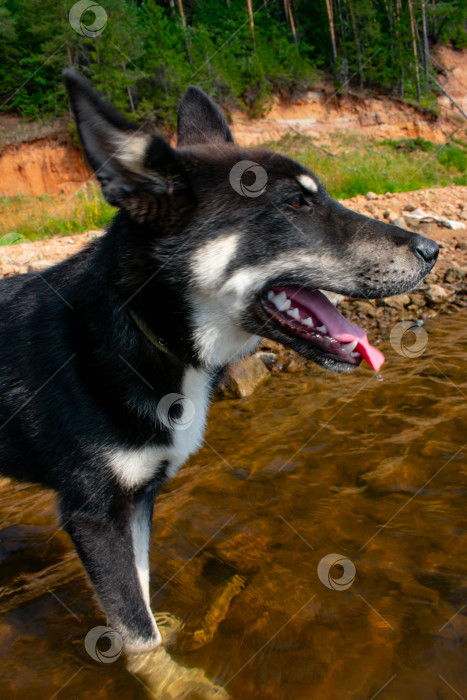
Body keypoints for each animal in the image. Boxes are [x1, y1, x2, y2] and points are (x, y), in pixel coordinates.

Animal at [0, 71, 438, 652]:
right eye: (295, 203)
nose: (433, 249)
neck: (145, 330)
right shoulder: (94, 513)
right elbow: (139, 634)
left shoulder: (140, 499)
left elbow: (143, 593)